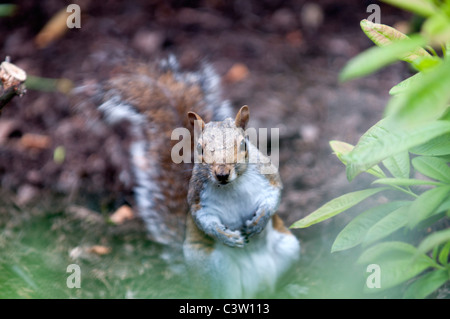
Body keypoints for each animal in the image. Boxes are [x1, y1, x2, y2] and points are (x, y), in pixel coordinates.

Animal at [83, 56, 298, 298]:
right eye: (201, 149)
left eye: (243, 144)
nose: (222, 174)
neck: (232, 185)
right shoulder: (198, 198)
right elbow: (203, 219)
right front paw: (225, 236)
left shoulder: (267, 176)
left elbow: (275, 195)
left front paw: (259, 220)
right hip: (215, 267)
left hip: (288, 247)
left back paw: (291, 288)